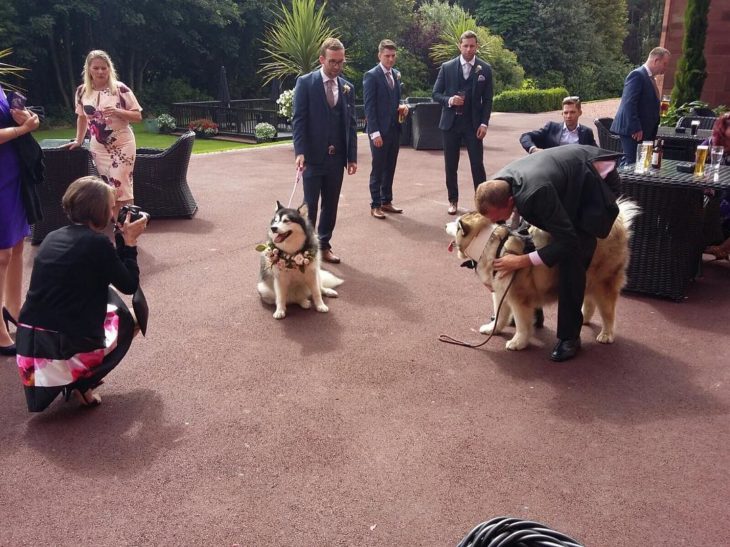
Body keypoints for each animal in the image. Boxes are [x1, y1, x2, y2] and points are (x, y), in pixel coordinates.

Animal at [444, 200, 636, 352]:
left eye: (456, 224)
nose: (445, 225)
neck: (488, 246)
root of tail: (618, 225)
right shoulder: (500, 293)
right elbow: (500, 315)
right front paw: (493, 329)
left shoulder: (519, 299)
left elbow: (522, 324)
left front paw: (518, 342)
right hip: (588, 279)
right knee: (589, 302)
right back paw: (583, 319)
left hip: (604, 284)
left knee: (608, 312)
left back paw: (606, 334)